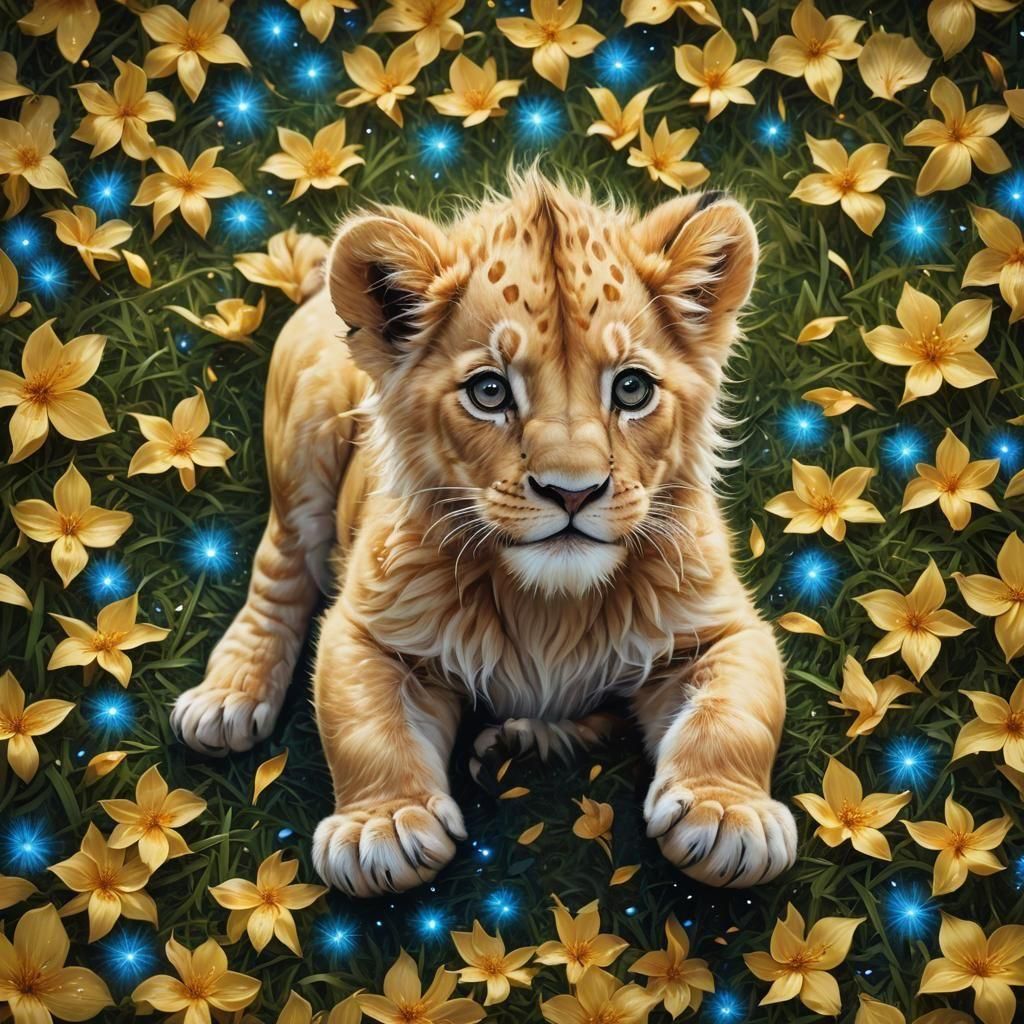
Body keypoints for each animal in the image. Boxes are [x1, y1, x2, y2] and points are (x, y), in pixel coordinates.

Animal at [170, 171, 797, 897]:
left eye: (633, 388)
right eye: (490, 392)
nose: (572, 491)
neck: (550, 606)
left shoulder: (720, 627)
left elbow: (737, 712)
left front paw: (727, 815)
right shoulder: (368, 628)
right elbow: (364, 722)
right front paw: (384, 826)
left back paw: (527, 740)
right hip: (305, 439)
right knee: (281, 570)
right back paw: (228, 698)